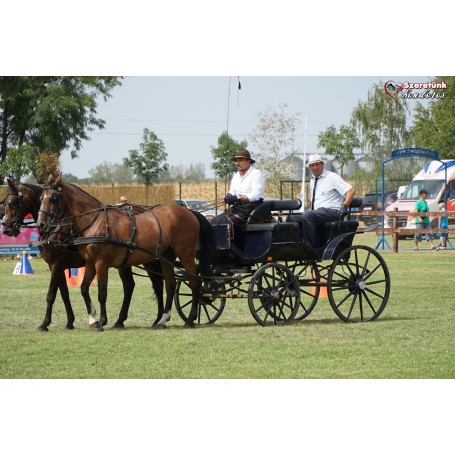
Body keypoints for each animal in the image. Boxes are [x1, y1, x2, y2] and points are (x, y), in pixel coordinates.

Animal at [1, 177, 166, 332]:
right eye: (41, 198)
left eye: (13, 203)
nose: (7, 229)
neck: (56, 229)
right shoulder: (58, 266)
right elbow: (64, 294)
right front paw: (70, 322)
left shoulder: (57, 265)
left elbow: (51, 295)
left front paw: (44, 324)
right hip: (124, 262)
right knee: (130, 286)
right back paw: (121, 321)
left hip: (149, 260)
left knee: (157, 285)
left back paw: (158, 318)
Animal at [37, 175, 216, 328]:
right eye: (40, 197)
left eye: (53, 198)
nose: (41, 224)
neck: (96, 222)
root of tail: (190, 212)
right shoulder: (89, 262)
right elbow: (84, 288)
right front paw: (92, 319)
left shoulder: (99, 262)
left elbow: (102, 292)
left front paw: (102, 321)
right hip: (166, 256)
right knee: (170, 284)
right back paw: (162, 320)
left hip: (185, 254)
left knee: (194, 282)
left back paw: (191, 319)